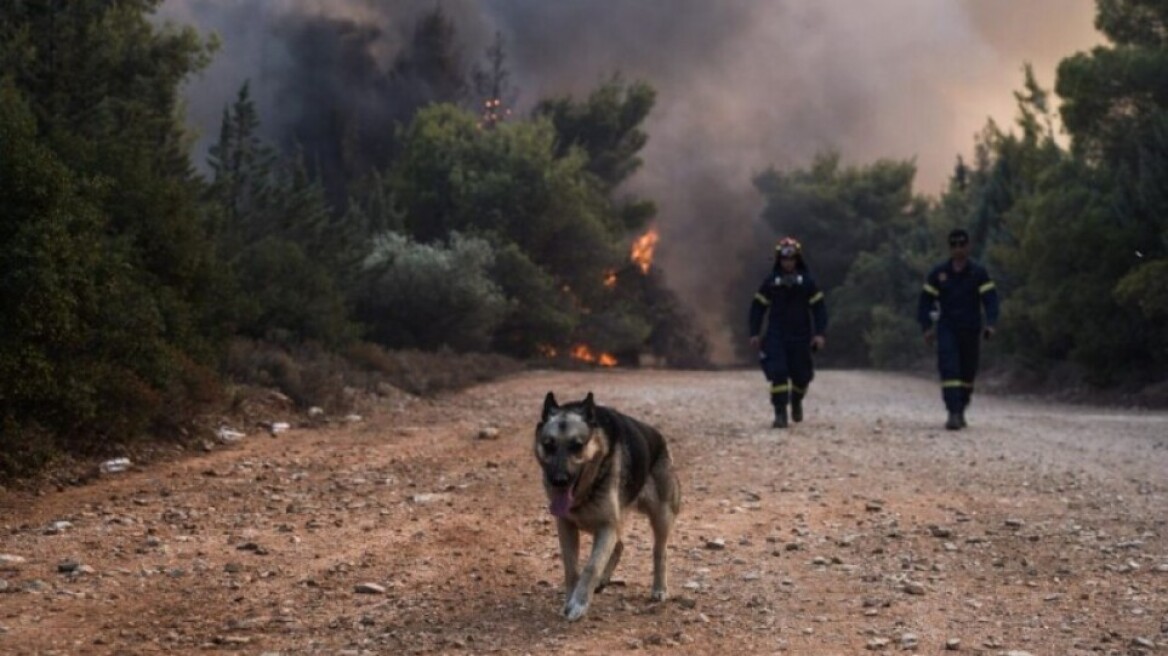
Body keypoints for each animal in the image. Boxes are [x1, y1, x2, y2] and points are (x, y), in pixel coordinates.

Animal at [534, 389, 682, 620]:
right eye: (549, 445)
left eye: (577, 445)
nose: (558, 480)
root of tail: (660, 439)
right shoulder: (567, 526)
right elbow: (571, 567)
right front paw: (570, 599)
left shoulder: (607, 526)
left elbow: (592, 566)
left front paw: (579, 603)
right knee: (620, 545)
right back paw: (604, 580)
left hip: (661, 517)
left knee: (660, 551)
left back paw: (659, 588)